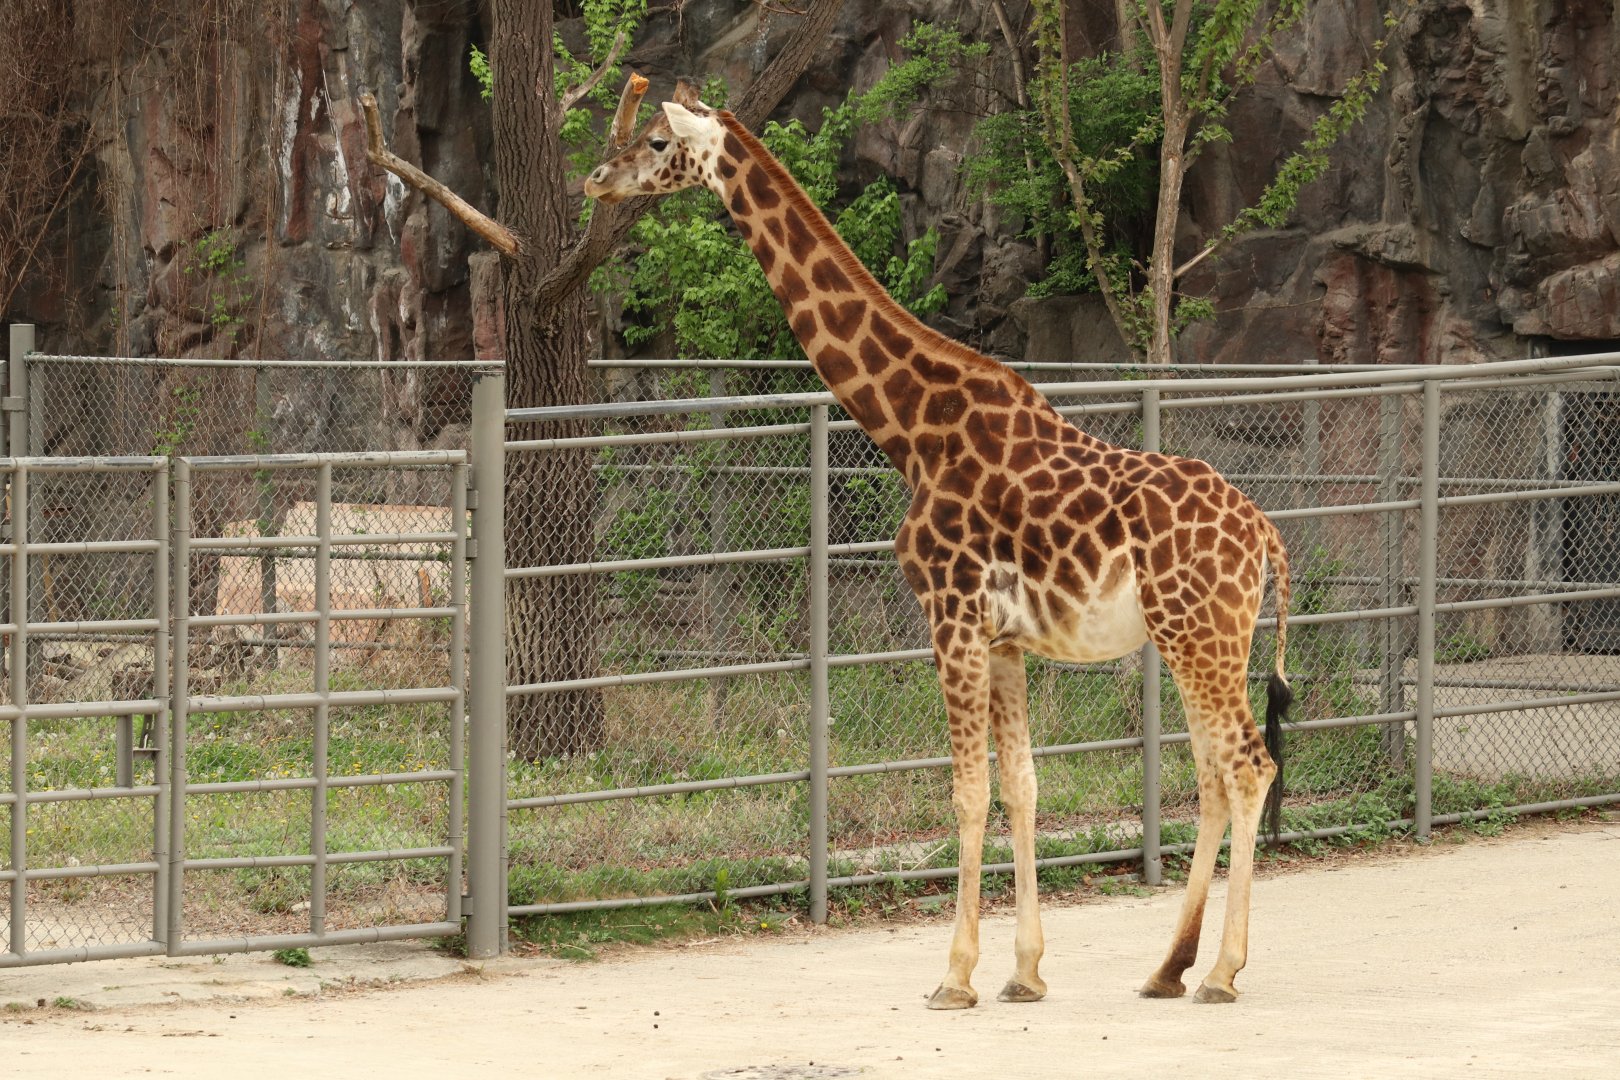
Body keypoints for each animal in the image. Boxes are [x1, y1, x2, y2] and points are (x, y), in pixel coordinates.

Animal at [585, 80, 1294, 1010]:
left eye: (659, 142)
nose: (596, 179)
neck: (915, 429)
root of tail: (1266, 534)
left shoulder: (949, 615)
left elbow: (966, 790)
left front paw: (955, 977)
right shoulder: (1004, 638)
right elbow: (1022, 786)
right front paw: (1024, 972)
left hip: (1198, 634)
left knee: (1246, 764)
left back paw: (1218, 972)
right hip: (1206, 639)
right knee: (1214, 771)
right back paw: (1167, 968)